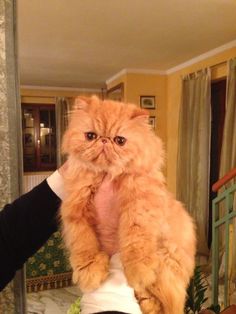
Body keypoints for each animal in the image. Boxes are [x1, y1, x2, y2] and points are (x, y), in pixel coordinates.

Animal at [60, 95, 195, 314]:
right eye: (90, 136)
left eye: (120, 141)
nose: (104, 140)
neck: (107, 174)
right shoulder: (75, 210)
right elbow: (84, 244)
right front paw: (90, 274)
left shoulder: (140, 204)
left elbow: (136, 239)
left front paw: (138, 271)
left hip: (165, 266)